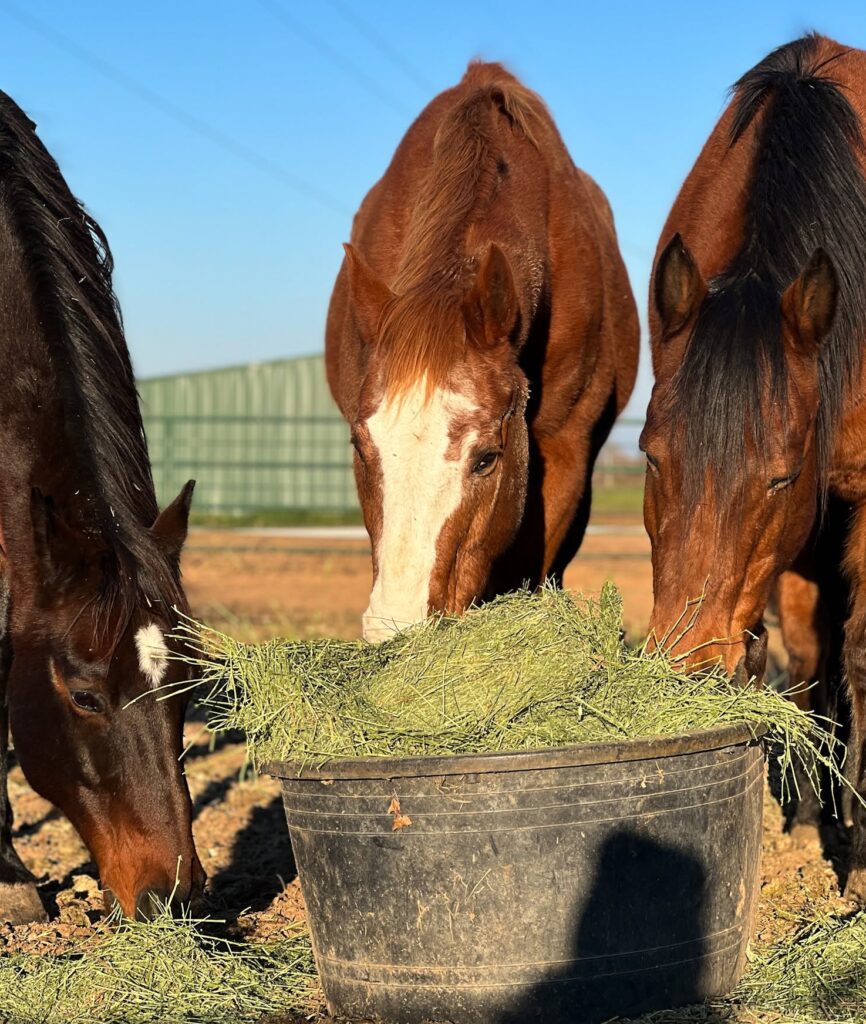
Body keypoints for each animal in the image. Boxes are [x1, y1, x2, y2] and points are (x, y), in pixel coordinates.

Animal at [641, 34, 866, 898]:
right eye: (651, 459)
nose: (690, 665)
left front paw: (857, 864)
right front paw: (803, 822)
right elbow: (802, 658)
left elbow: (862, 654)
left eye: (777, 476)